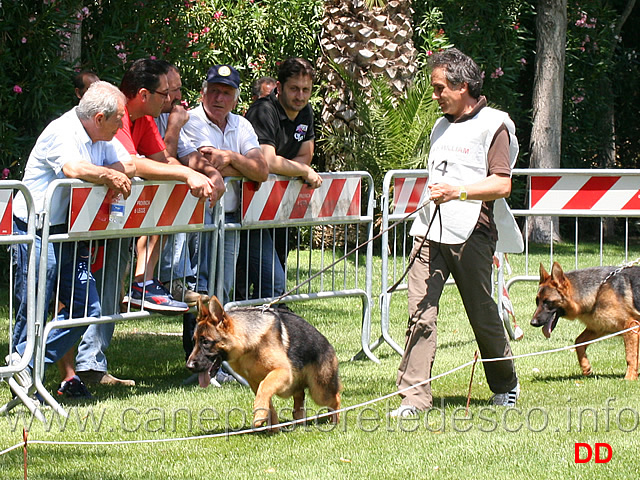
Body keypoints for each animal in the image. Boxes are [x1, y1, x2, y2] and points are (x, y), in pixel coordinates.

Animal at [188, 296, 342, 428]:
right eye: (193, 341)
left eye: (206, 342)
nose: (189, 366)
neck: (248, 344)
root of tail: (329, 345)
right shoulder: (254, 382)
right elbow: (267, 401)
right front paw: (272, 427)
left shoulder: (281, 371)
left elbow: (265, 388)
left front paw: (260, 415)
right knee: (300, 396)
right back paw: (299, 420)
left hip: (319, 391)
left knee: (336, 397)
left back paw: (335, 420)